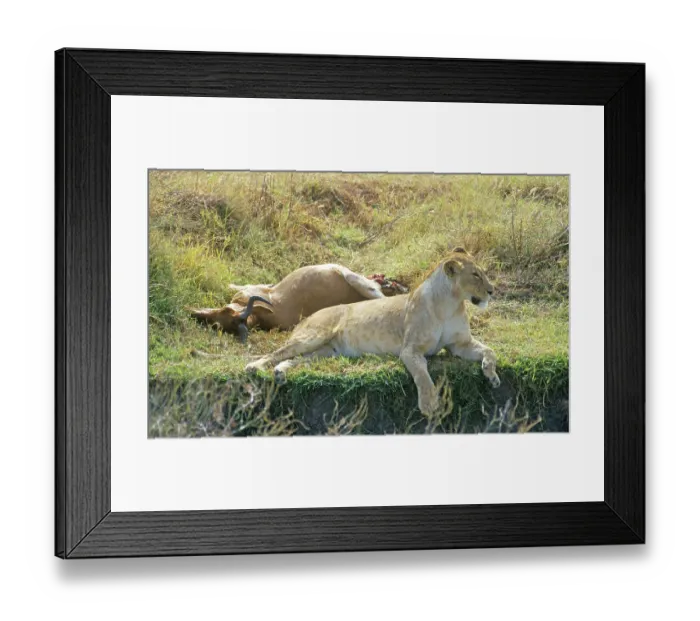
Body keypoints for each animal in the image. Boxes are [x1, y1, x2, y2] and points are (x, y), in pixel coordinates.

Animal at [245, 248, 499, 414]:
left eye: (482, 272)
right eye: (475, 275)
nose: (492, 291)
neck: (451, 304)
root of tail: (307, 317)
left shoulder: (460, 344)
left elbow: (490, 351)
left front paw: (491, 374)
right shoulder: (410, 350)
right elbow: (422, 375)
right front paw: (428, 404)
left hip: (325, 351)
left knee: (294, 359)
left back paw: (280, 372)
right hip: (313, 336)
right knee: (277, 353)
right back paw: (254, 367)